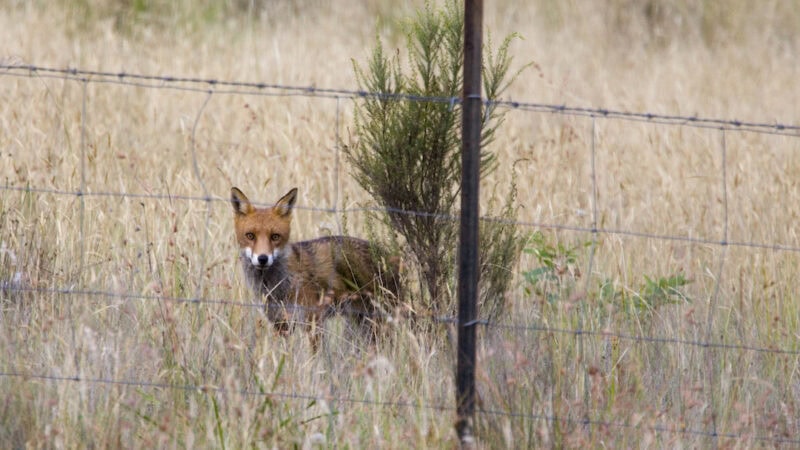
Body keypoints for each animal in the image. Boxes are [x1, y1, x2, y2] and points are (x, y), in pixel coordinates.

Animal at [231, 186, 400, 352]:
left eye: (275, 236)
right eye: (250, 236)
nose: (262, 258)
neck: (277, 286)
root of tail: (388, 254)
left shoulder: (312, 321)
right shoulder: (281, 325)